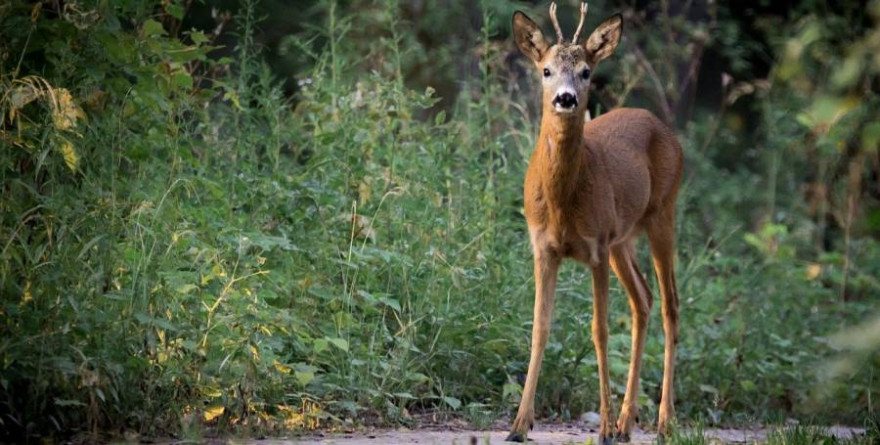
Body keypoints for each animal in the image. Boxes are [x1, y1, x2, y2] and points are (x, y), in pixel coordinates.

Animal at [506, 1, 684, 442]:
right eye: (546, 70)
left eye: (586, 71)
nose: (567, 98)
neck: (562, 203)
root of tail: (663, 126)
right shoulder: (543, 248)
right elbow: (539, 328)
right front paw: (519, 424)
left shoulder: (596, 247)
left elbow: (600, 332)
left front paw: (601, 426)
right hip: (624, 239)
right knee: (644, 300)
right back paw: (626, 421)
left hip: (662, 213)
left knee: (670, 304)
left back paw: (663, 420)